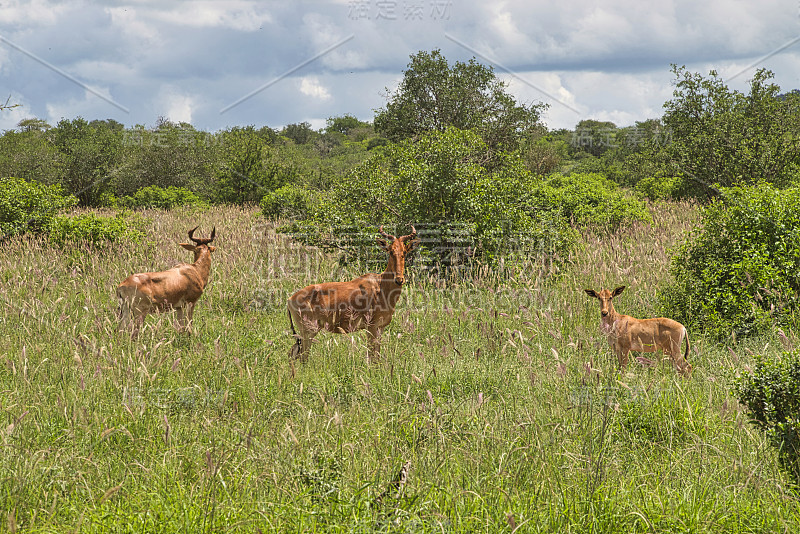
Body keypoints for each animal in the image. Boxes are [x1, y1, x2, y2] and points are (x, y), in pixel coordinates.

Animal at [290, 226, 422, 364]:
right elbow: (372, 357)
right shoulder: (371, 327)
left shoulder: (380, 328)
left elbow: (376, 356)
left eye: (404, 252)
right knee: (302, 356)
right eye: (390, 251)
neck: (380, 285)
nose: (399, 279)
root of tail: (290, 299)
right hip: (308, 331)